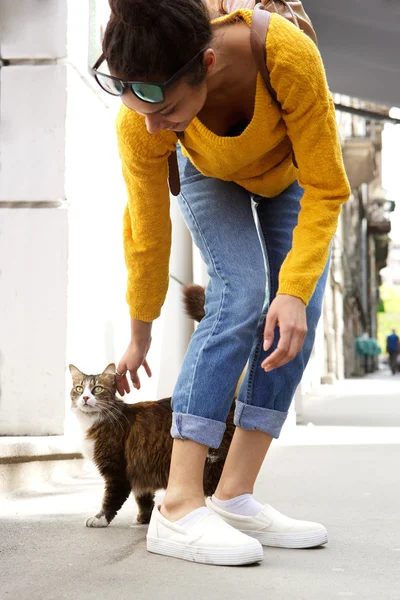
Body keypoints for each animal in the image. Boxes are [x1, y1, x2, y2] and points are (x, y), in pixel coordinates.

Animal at [69, 286, 234, 524]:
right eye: (79, 389)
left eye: (97, 389)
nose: (85, 398)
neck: (91, 422)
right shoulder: (140, 470)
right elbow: (143, 497)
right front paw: (144, 518)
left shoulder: (116, 470)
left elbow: (111, 498)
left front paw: (99, 519)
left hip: (213, 467)